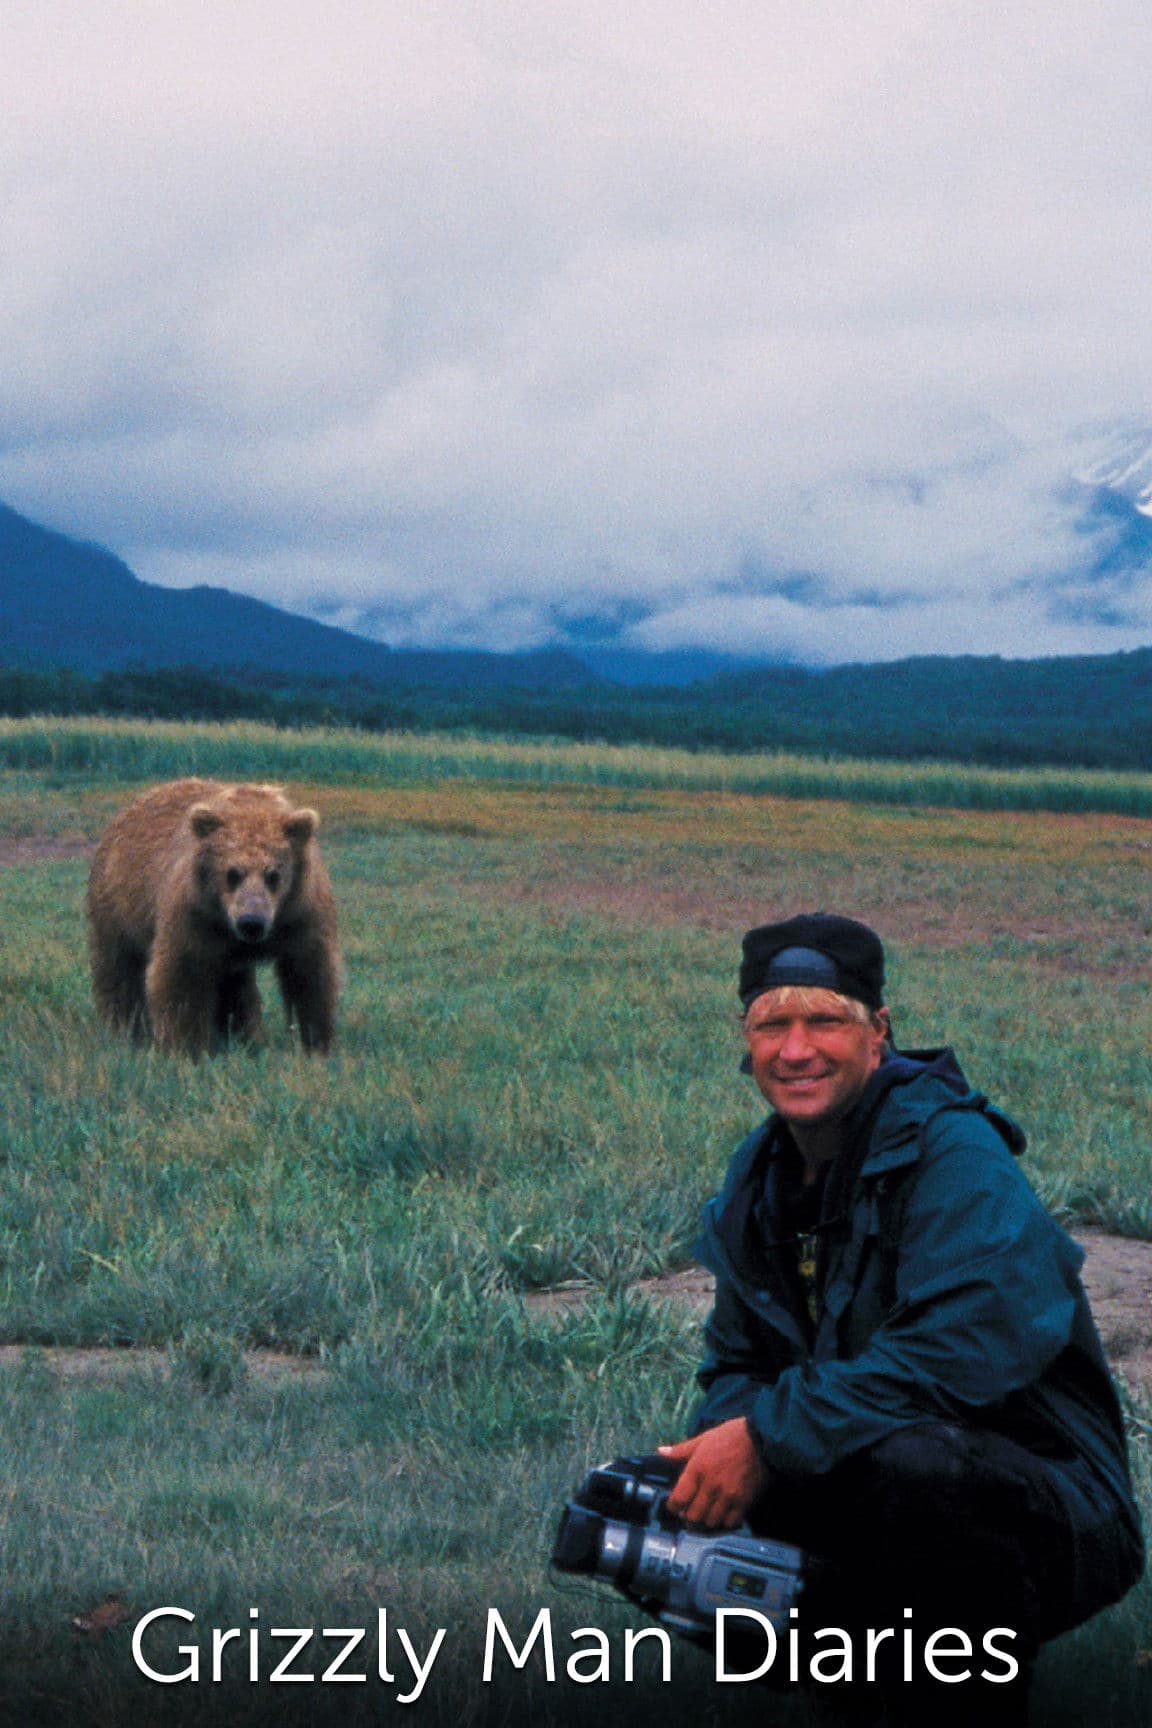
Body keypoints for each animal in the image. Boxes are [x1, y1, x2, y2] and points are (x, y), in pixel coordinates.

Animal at [86, 778, 341, 1056]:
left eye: (273, 875)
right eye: (232, 873)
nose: (252, 922)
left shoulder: (301, 913)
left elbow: (309, 974)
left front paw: (315, 1043)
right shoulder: (195, 915)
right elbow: (182, 976)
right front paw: (185, 1046)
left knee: (235, 987)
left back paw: (241, 1036)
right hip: (118, 908)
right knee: (119, 971)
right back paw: (125, 1028)